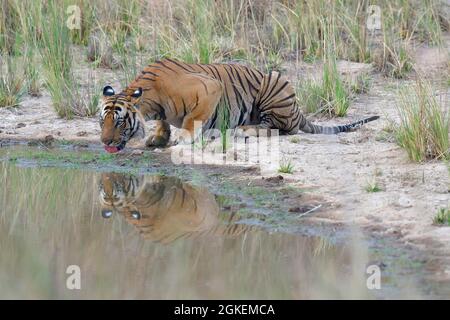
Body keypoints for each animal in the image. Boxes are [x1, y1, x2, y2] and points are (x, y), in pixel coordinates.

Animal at [99, 59, 380, 154]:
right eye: (103, 121)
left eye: (120, 121)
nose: (104, 142)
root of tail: (298, 110)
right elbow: (163, 121)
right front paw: (157, 137)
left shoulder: (209, 88)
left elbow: (193, 118)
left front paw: (183, 138)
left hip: (274, 81)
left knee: (280, 128)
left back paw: (243, 130)